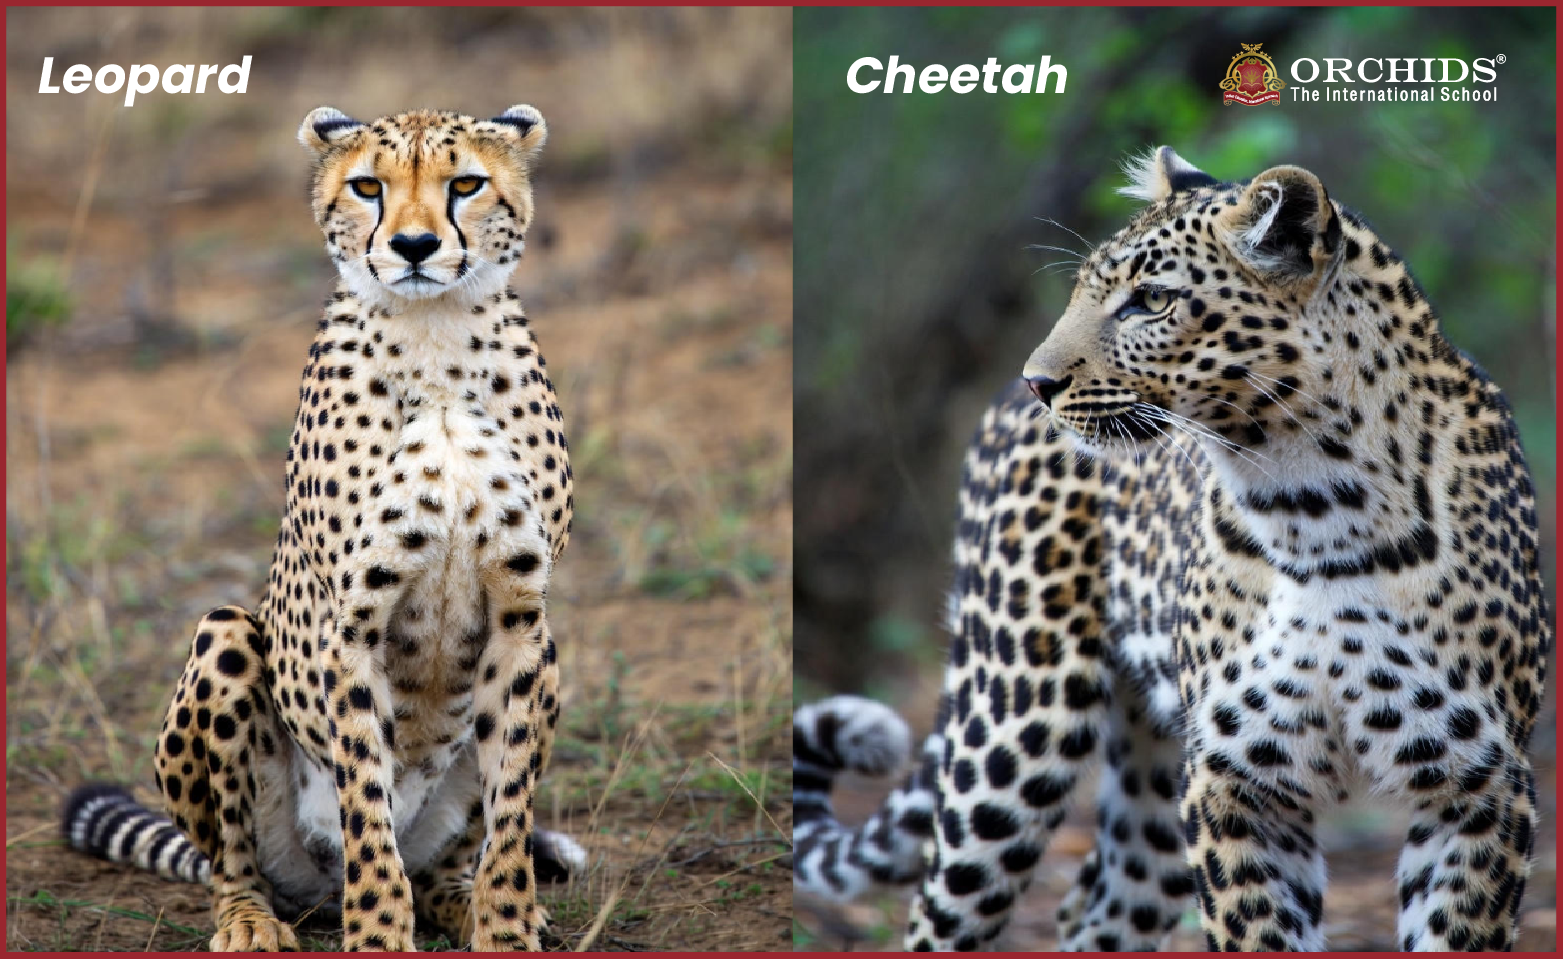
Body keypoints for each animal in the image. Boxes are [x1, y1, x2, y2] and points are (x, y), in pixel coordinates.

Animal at [60, 103, 588, 952]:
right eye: (368, 186)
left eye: (465, 184)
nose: (414, 246)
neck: (436, 337)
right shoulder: (352, 620)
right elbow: (366, 805)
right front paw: (376, 936)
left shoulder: (521, 618)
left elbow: (510, 813)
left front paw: (505, 929)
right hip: (227, 638)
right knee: (235, 861)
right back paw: (251, 919)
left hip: (541, 674)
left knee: (442, 863)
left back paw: (463, 900)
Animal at [794, 147, 1549, 952]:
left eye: (1150, 300)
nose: (1039, 382)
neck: (1313, 507)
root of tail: (996, 404)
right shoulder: (1235, 781)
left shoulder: (1478, 786)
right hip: (1011, 731)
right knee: (942, 911)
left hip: (1147, 777)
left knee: (1102, 902)